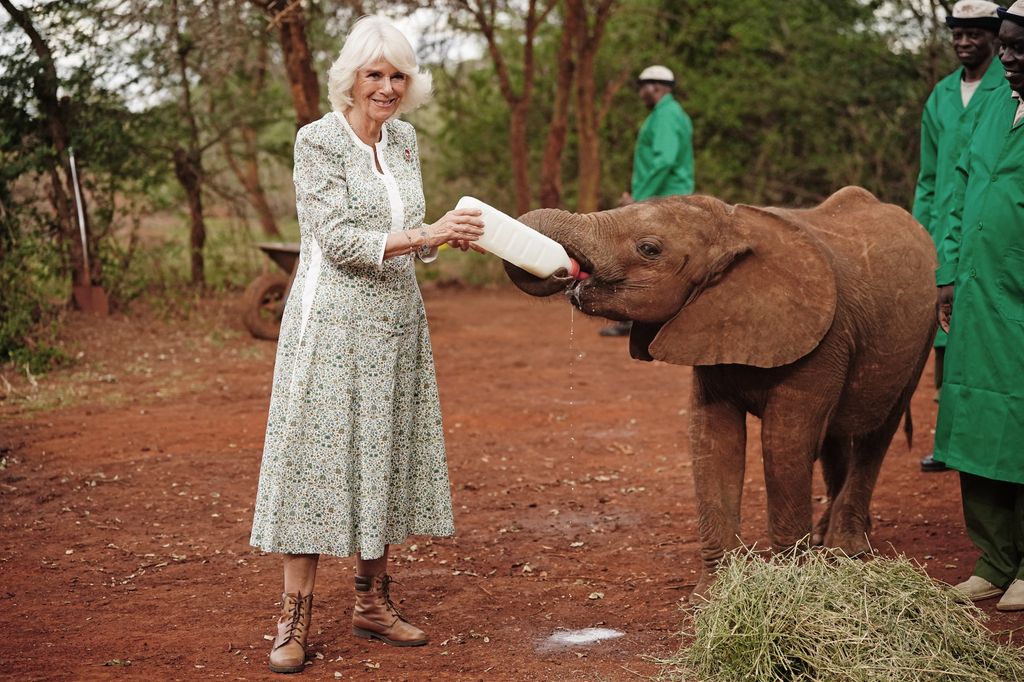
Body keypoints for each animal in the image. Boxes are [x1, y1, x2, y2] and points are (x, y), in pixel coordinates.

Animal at [501, 184, 937, 593]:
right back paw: (827, 539)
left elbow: (784, 444)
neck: (733, 228)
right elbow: (713, 439)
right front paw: (713, 594)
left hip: (921, 337)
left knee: (875, 435)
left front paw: (789, 587)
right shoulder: (711, 324)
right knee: (835, 437)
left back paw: (847, 549)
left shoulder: (822, 343)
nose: (564, 272)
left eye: (649, 249)